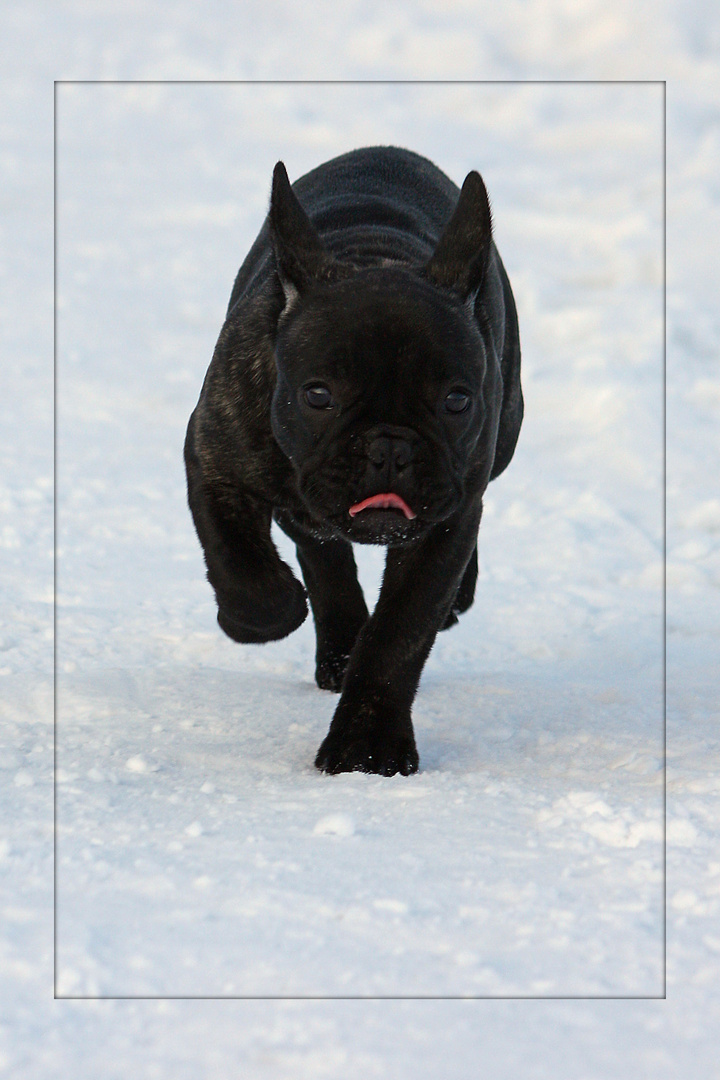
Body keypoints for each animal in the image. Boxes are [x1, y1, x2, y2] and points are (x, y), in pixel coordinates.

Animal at [184, 150, 524, 777]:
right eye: (318, 395)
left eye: (457, 400)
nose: (390, 448)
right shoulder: (215, 455)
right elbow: (235, 557)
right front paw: (266, 613)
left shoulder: (444, 526)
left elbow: (398, 636)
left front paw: (367, 749)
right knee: (317, 547)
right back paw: (336, 645)